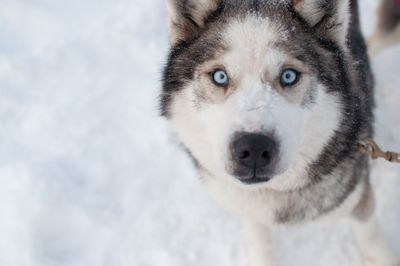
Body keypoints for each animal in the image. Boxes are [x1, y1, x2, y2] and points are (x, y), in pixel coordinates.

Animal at [161, 1, 398, 264]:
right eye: (220, 76)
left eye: (289, 76)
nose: (254, 148)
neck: (277, 191)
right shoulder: (248, 207)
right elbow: (259, 241)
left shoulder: (357, 197)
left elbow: (371, 237)